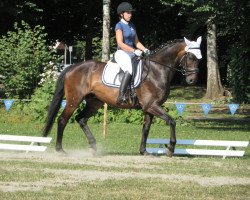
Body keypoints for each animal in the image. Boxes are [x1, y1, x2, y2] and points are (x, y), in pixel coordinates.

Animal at [43, 36, 201, 157]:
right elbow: (171, 121)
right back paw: (60, 150)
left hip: (94, 102)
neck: (157, 70)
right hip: (74, 100)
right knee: (62, 120)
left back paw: (93, 146)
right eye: (191, 57)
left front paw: (144, 151)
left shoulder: (149, 108)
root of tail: (72, 67)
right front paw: (170, 149)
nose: (192, 81)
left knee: (81, 119)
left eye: (199, 58)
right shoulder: (151, 105)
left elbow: (146, 128)